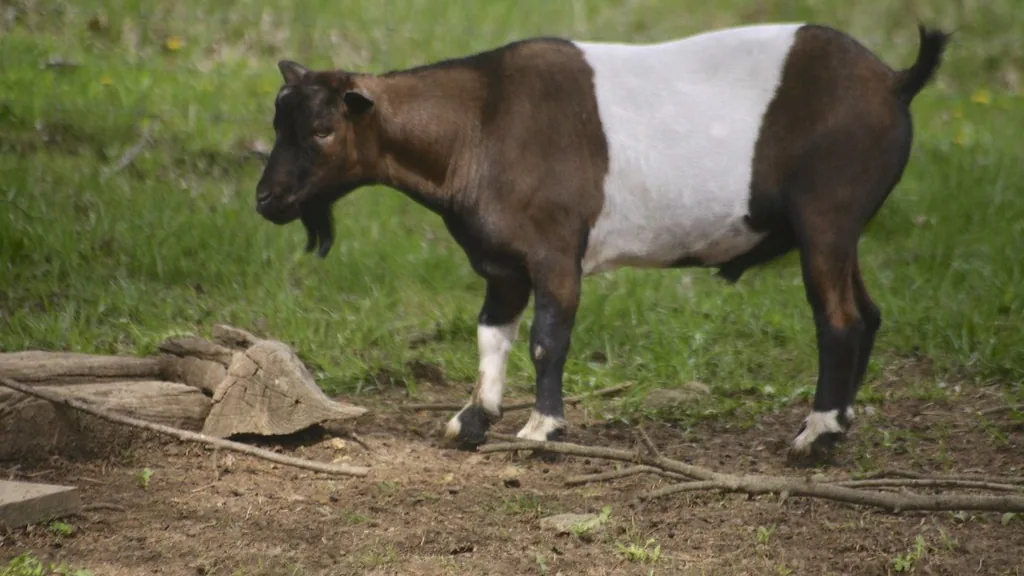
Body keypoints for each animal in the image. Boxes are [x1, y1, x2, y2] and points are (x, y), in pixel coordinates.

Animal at [255, 22, 950, 461]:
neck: (480, 123)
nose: (266, 200)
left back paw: (816, 436)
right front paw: (471, 421)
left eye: (321, 129)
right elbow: (491, 335)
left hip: (827, 215)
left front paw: (542, 429)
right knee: (868, 313)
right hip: (842, 229)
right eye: (277, 121)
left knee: (839, 319)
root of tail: (894, 80)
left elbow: (546, 338)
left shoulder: (555, 252)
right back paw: (839, 425)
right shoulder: (502, 265)